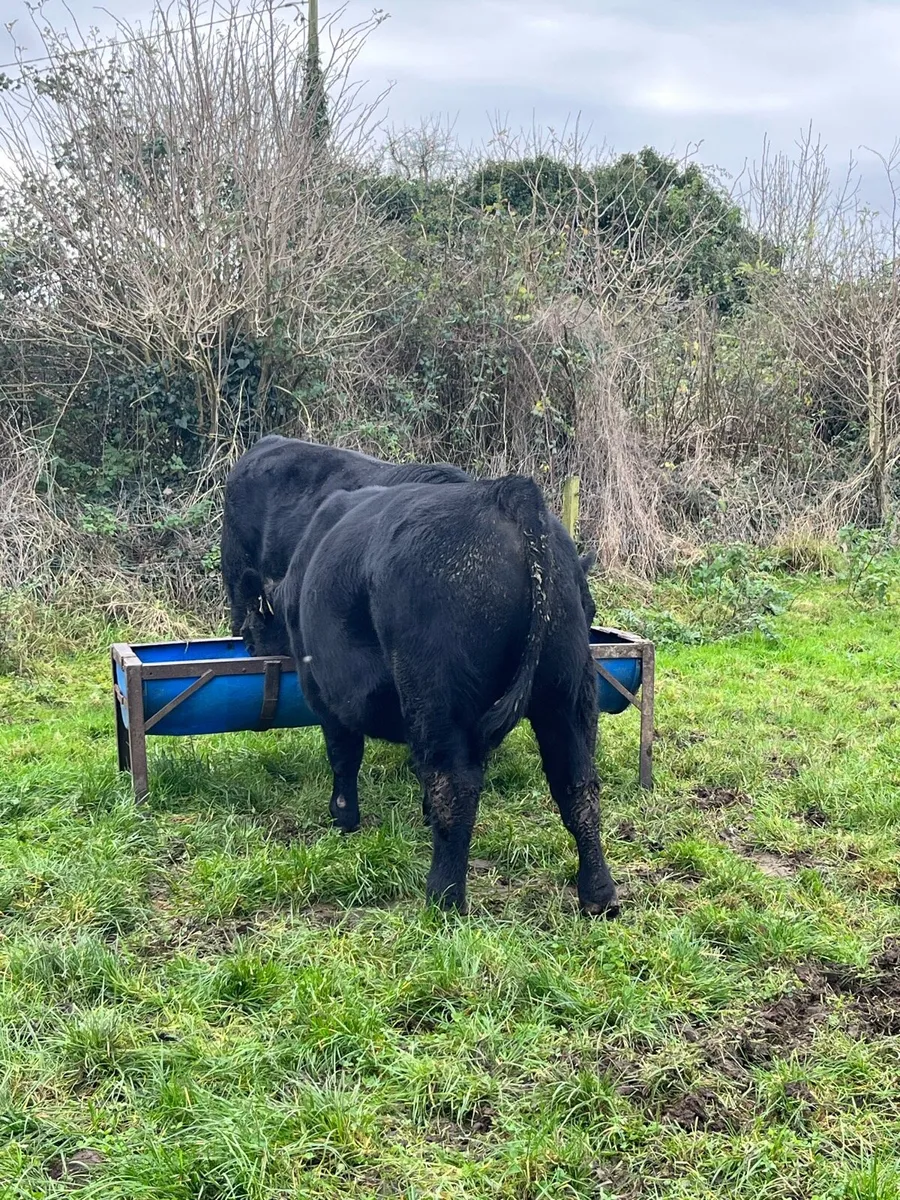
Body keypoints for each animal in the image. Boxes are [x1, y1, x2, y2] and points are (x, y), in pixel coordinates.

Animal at [239, 475, 616, 919]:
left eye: (249, 625)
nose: (247, 645)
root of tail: (506, 493)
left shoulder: (325, 692)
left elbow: (344, 755)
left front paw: (343, 818)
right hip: (568, 690)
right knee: (577, 785)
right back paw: (599, 894)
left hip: (437, 689)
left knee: (455, 785)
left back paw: (443, 898)